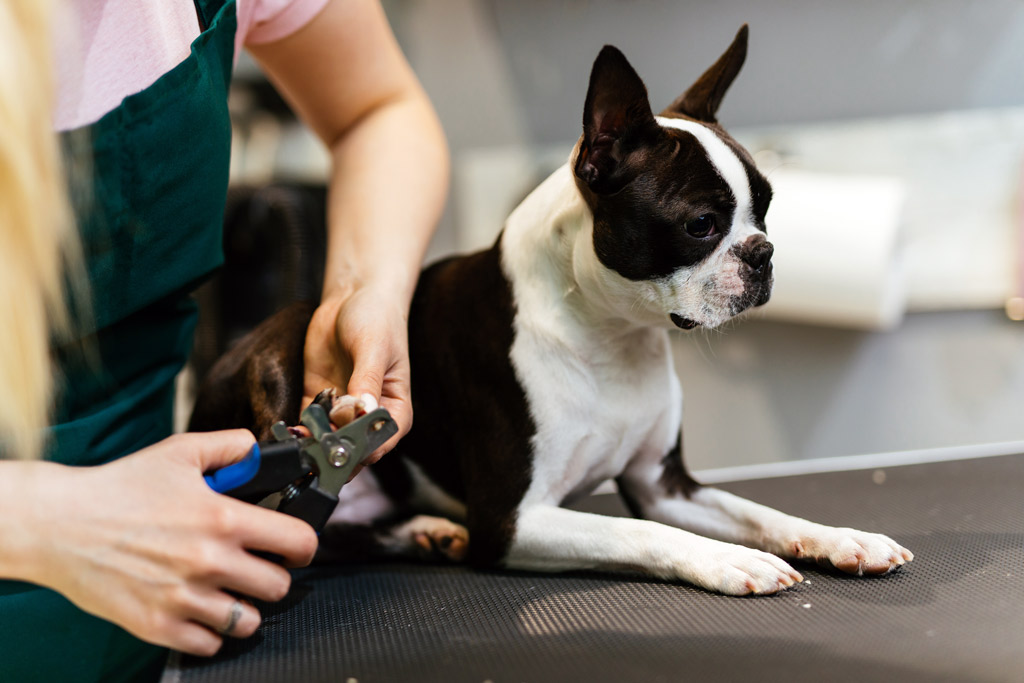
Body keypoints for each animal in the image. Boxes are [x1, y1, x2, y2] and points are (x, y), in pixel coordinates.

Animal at [192, 25, 913, 593]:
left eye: (766, 207)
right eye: (702, 225)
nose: (763, 253)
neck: (614, 334)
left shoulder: (665, 486)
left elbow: (759, 512)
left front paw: (840, 537)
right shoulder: (514, 520)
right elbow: (639, 534)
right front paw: (730, 559)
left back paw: (428, 529)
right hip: (282, 355)